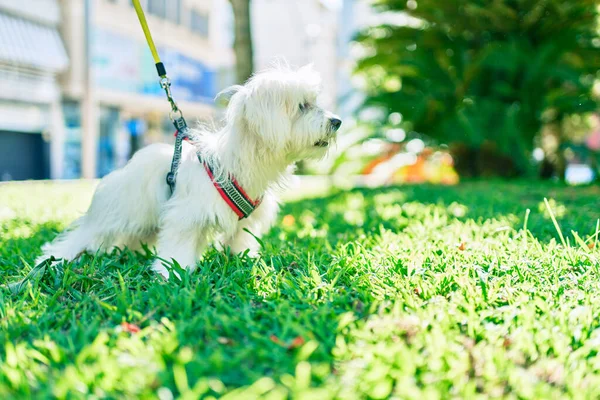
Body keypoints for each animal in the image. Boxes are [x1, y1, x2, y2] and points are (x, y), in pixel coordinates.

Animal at [38, 65, 342, 278]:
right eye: (303, 106)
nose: (337, 121)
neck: (240, 162)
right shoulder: (185, 215)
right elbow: (179, 244)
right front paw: (173, 272)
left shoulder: (243, 223)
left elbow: (239, 241)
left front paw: (241, 260)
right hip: (119, 211)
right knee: (83, 236)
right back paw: (54, 260)